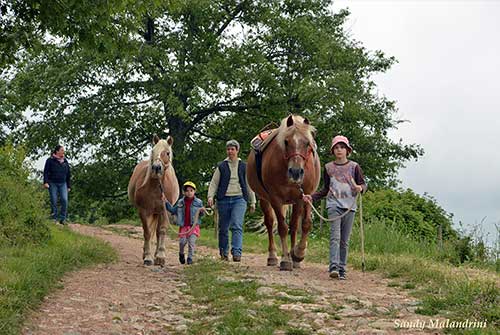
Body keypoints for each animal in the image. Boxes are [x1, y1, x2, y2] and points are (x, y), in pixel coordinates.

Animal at [127, 135, 180, 266]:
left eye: (167, 153)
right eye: (153, 151)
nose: (156, 167)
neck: (157, 187)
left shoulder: (165, 211)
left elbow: (161, 231)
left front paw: (160, 257)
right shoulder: (143, 211)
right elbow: (147, 232)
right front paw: (147, 257)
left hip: (158, 212)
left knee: (156, 232)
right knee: (151, 231)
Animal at [246, 114, 320, 272]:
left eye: (307, 143)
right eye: (286, 142)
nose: (296, 172)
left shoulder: (302, 197)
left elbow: (302, 225)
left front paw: (298, 254)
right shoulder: (275, 199)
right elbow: (282, 228)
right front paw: (286, 259)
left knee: (296, 225)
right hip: (264, 199)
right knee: (269, 223)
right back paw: (273, 256)